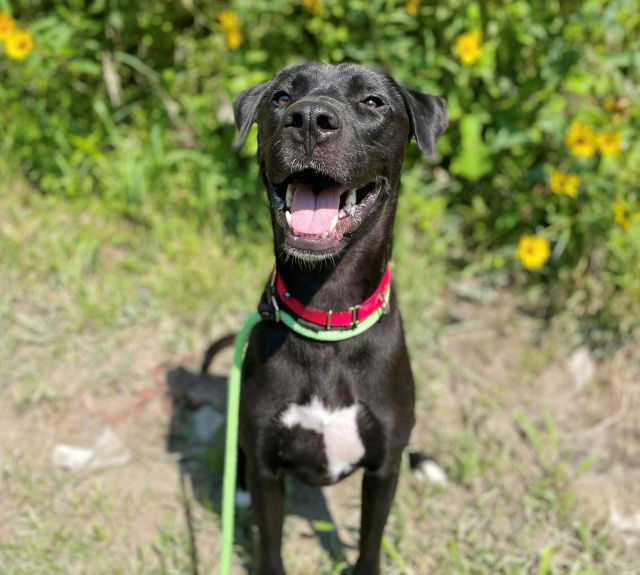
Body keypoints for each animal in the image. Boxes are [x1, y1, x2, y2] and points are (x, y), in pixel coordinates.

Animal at [208, 63, 448, 575]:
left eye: (373, 101)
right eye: (280, 97)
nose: (310, 119)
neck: (328, 316)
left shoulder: (382, 470)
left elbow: (370, 540)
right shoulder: (267, 467)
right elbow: (270, 540)